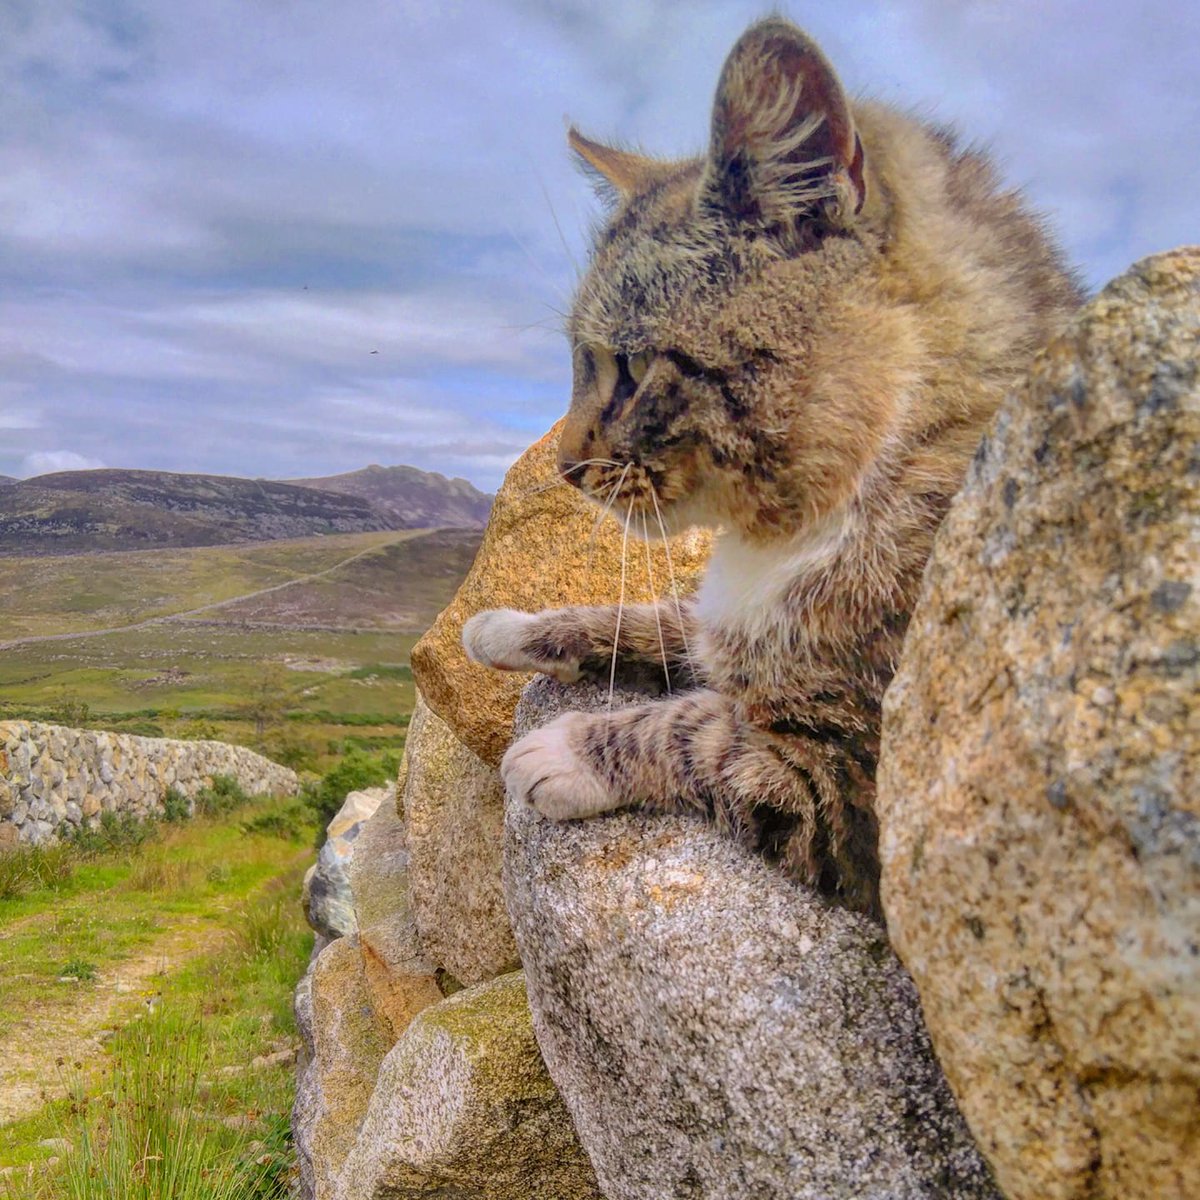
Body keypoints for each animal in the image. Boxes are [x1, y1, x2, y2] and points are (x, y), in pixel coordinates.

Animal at [458, 16, 1080, 916]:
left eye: (631, 368)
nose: (567, 468)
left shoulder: (856, 791)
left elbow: (697, 731)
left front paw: (568, 752)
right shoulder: (717, 624)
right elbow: (653, 615)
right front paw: (515, 624)